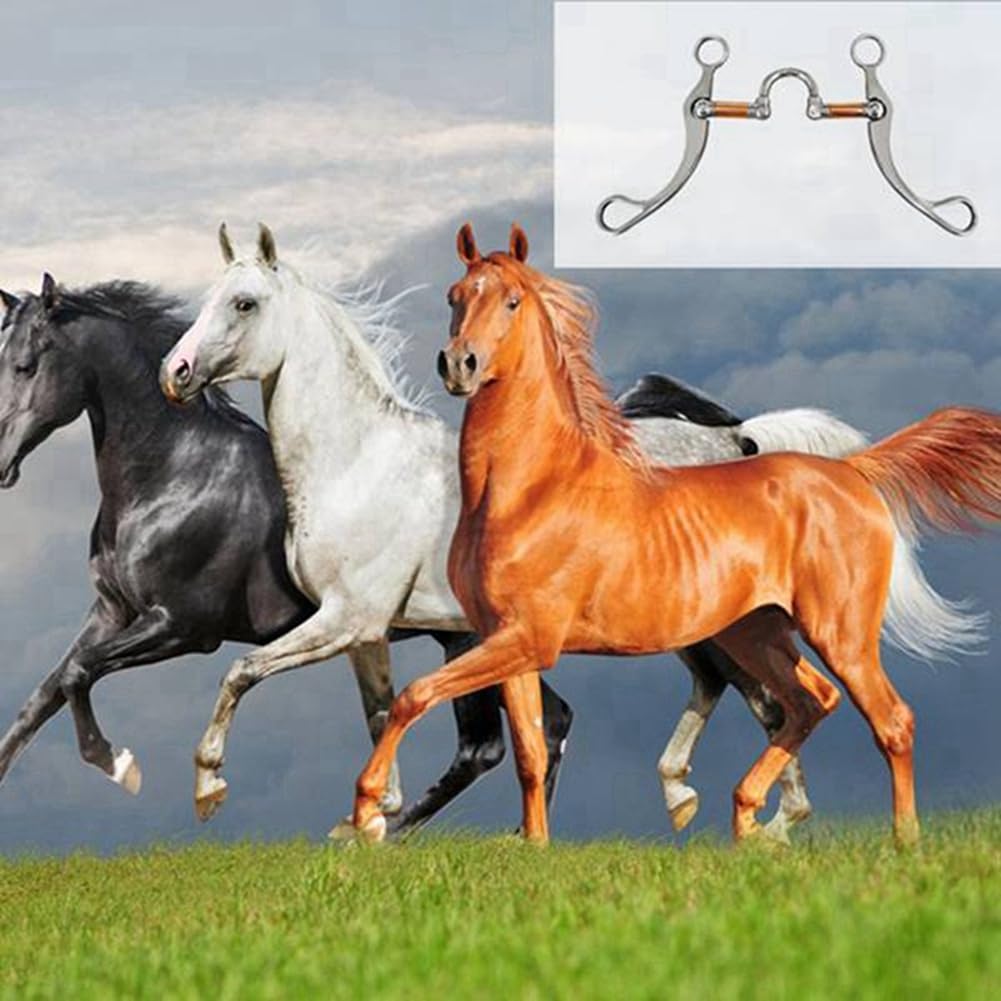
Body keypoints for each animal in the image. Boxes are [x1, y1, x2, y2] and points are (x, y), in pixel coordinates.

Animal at [161, 223, 898, 841]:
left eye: (244, 303)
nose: (176, 373)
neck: (357, 460)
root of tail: (737, 440)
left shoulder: (347, 619)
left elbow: (242, 671)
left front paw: (209, 787)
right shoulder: (365, 633)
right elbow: (379, 712)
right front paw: (370, 818)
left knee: (768, 702)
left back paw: (759, 818)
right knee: (751, 696)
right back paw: (719, 805)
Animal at [345, 222, 1001, 846]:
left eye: (511, 300)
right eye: (455, 296)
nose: (459, 365)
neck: (532, 489)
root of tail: (850, 472)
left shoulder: (527, 638)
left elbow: (413, 696)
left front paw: (366, 812)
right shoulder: (505, 640)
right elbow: (529, 751)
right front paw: (532, 845)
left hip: (839, 633)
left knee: (889, 720)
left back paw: (900, 841)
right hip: (755, 632)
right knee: (805, 702)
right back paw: (746, 821)